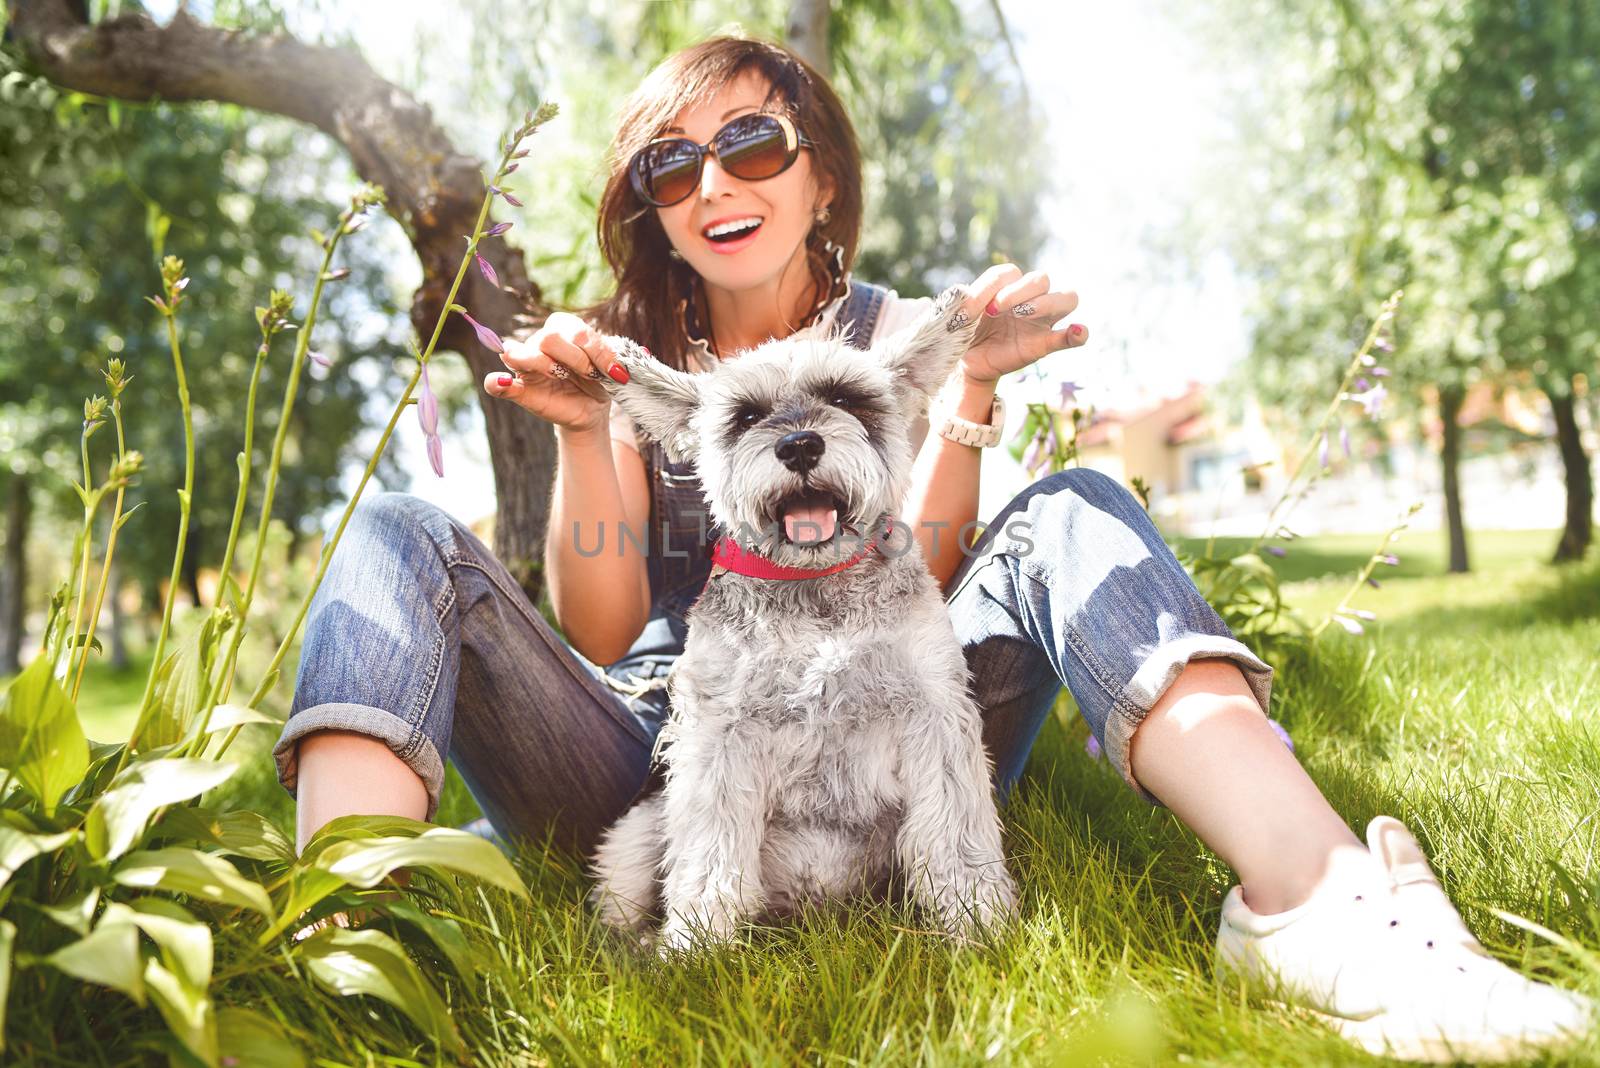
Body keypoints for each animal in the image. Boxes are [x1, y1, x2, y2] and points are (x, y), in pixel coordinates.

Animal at [585, 286, 1011, 959]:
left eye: (844, 397)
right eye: (745, 417)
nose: (800, 445)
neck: (815, 588)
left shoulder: (935, 711)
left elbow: (955, 832)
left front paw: (977, 921)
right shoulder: (719, 734)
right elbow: (710, 853)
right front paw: (697, 946)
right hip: (636, 830)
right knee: (622, 899)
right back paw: (643, 950)